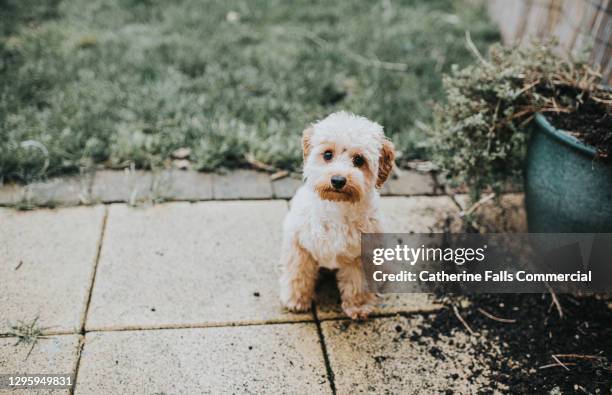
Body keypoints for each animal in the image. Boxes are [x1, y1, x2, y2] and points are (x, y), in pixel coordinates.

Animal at [278, 112, 394, 322]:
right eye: (327, 155)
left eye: (359, 160)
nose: (338, 180)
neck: (337, 209)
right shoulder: (299, 246)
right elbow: (298, 273)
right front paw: (296, 299)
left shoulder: (361, 256)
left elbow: (358, 283)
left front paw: (358, 306)